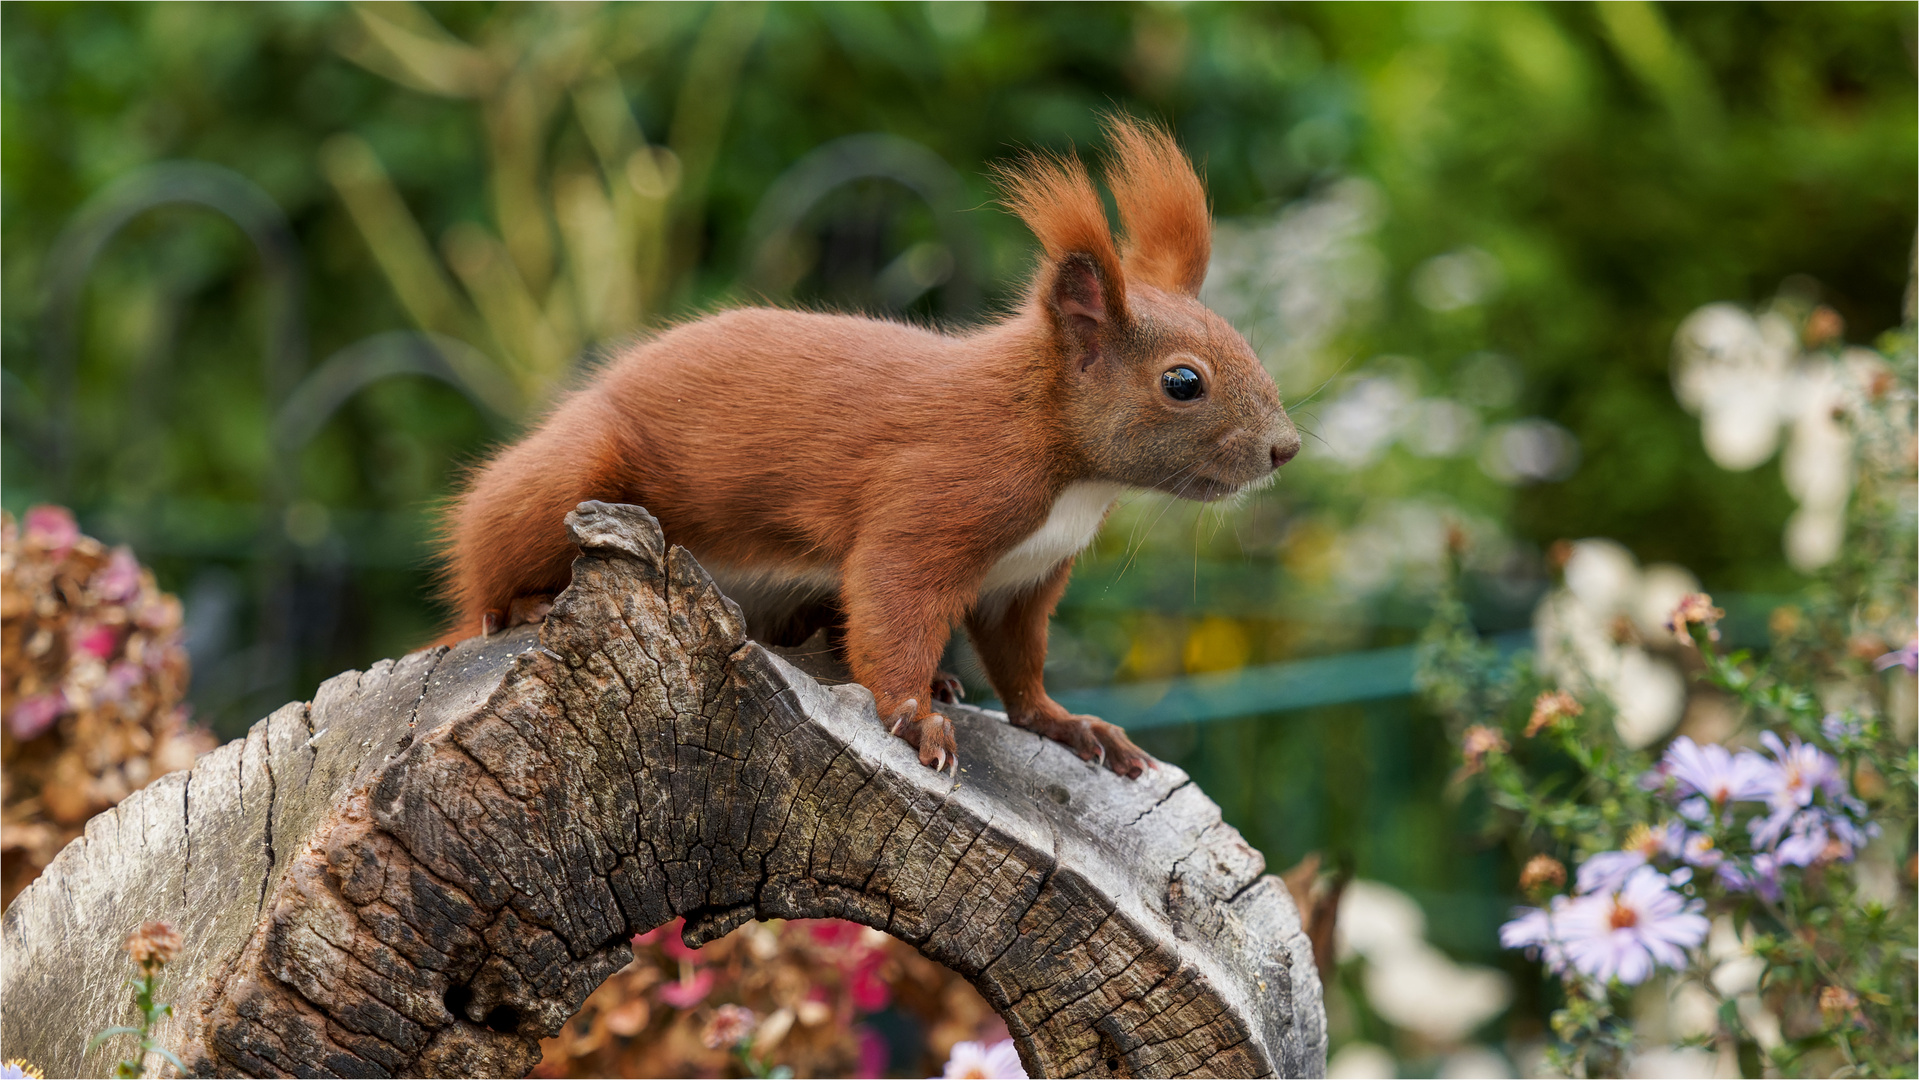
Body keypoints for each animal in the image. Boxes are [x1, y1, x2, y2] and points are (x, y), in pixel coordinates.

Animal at [439, 116, 1304, 778]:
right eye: (1182, 382)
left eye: (1239, 340)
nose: (1285, 450)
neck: (1056, 453)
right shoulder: (934, 500)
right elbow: (893, 605)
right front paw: (915, 719)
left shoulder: (1023, 580)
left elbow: (1019, 664)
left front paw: (1068, 724)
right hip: (566, 479)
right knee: (487, 579)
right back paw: (518, 605)